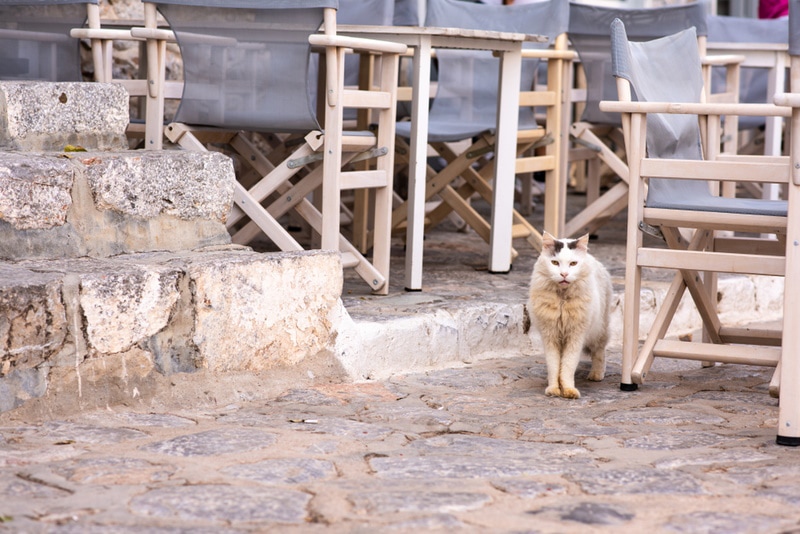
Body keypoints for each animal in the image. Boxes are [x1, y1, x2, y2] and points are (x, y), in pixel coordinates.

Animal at [528, 232, 616, 400]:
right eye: (555, 262)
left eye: (573, 264)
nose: (564, 274)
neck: (562, 299)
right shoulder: (550, 336)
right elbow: (554, 366)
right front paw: (554, 389)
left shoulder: (576, 336)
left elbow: (568, 365)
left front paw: (569, 390)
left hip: (599, 331)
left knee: (599, 352)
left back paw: (596, 375)